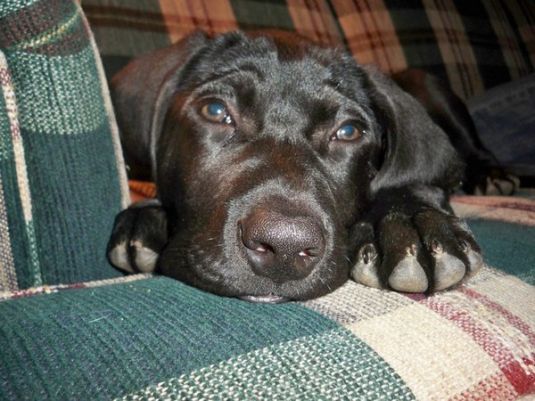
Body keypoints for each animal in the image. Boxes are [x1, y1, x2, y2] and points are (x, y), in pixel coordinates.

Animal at [108, 30, 486, 300]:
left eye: (348, 131)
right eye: (215, 111)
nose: (284, 248)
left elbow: (406, 180)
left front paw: (407, 221)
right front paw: (147, 216)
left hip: (427, 82)